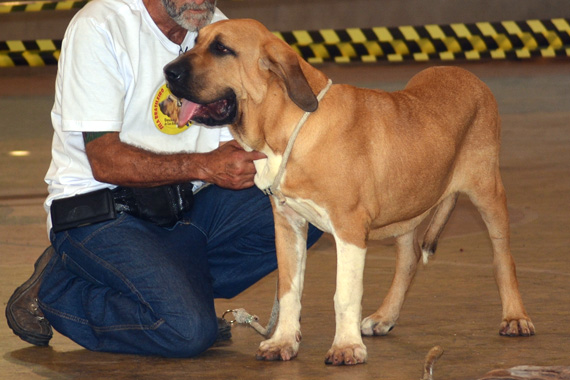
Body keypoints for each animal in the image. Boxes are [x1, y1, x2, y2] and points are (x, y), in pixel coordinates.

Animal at [163, 18, 532, 366]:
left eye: (222, 49)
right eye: (195, 42)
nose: (168, 72)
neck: (289, 125)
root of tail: (470, 77)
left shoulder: (349, 229)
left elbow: (345, 294)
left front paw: (346, 347)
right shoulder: (288, 224)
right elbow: (289, 289)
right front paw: (283, 341)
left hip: (487, 191)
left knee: (503, 257)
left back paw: (515, 316)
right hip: (408, 202)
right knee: (409, 259)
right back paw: (385, 317)